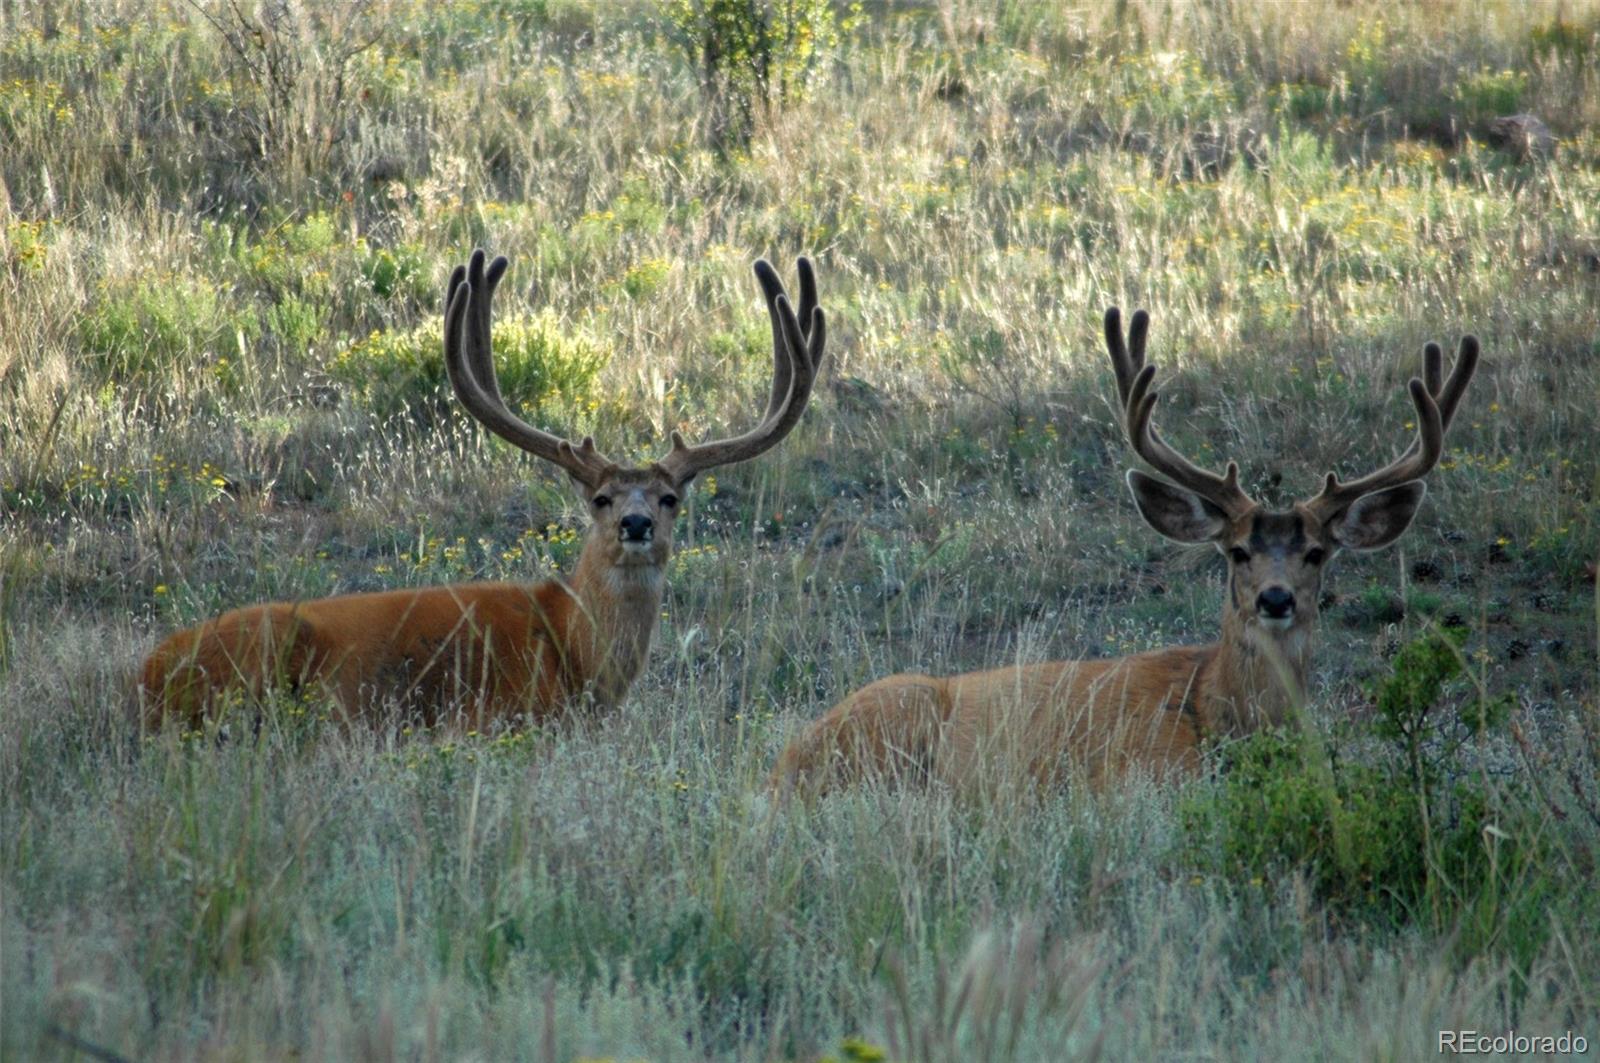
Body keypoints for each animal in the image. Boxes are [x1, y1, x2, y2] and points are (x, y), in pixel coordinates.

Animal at [768, 307, 1478, 797]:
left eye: (1317, 553)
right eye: (1236, 552)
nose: (1275, 600)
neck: (1219, 712)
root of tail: (783, 762)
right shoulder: (1134, 773)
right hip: (898, 717)